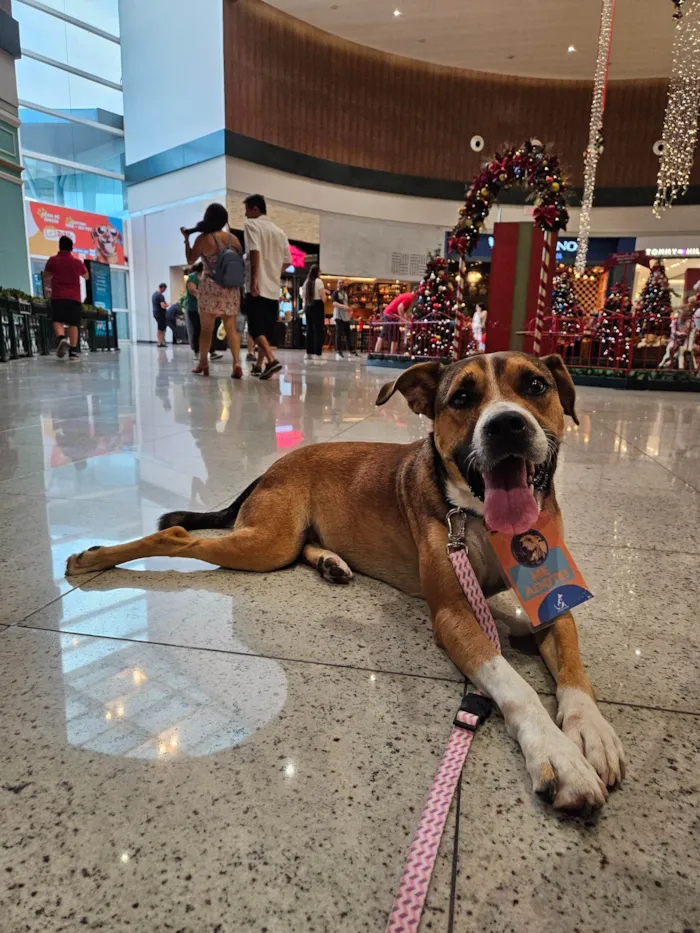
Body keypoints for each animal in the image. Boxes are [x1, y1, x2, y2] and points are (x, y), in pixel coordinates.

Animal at [67, 350, 624, 808]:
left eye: (535, 386)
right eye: (462, 398)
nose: (507, 425)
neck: (476, 516)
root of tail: (273, 465)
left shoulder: (553, 599)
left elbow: (573, 666)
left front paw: (590, 730)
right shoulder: (453, 615)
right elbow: (513, 683)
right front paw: (558, 754)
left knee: (296, 547)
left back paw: (330, 562)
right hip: (266, 543)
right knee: (178, 533)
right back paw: (95, 558)